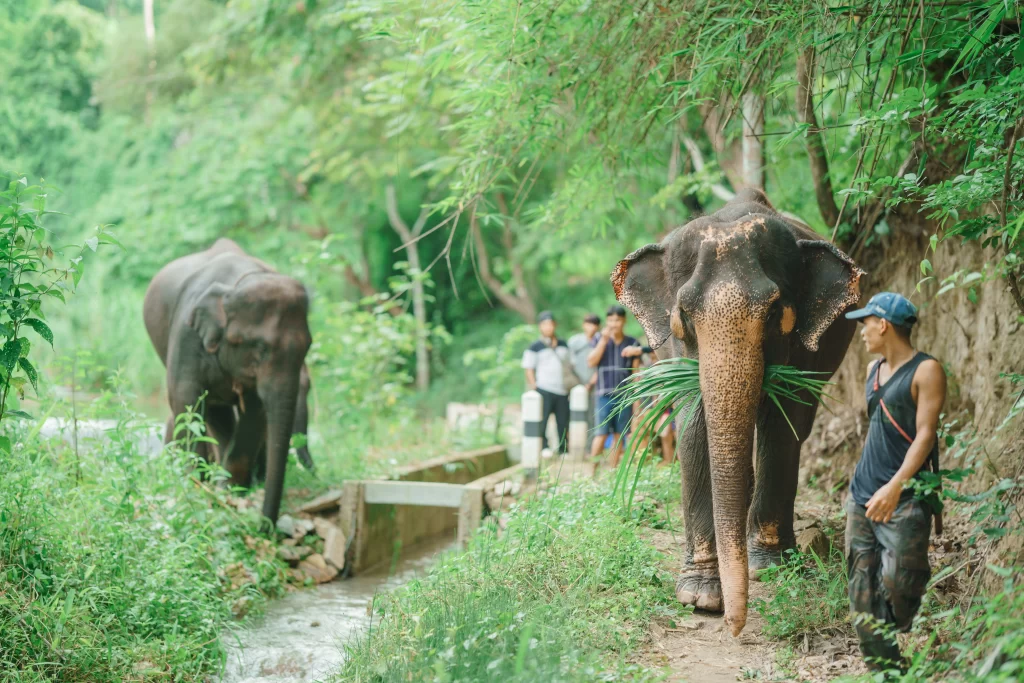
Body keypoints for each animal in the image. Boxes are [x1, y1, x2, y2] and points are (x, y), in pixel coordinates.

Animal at [142, 237, 313, 520]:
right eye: (260, 348)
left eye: (308, 346)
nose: (265, 526)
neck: (235, 287)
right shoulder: (187, 332)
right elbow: (184, 398)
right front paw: (194, 489)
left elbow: (254, 414)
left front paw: (229, 490)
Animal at [614, 188, 864, 634]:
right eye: (683, 317)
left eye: (774, 311)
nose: (734, 626)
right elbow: (693, 428)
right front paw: (699, 597)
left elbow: (782, 426)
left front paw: (770, 566)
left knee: (798, 425)